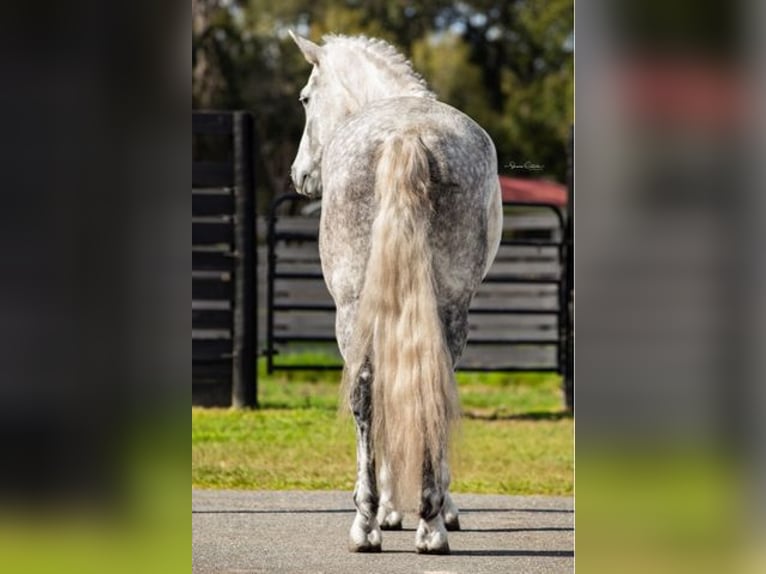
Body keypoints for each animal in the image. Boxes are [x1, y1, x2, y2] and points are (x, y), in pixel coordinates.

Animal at [290, 32, 504, 560]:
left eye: (305, 99)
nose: (299, 175)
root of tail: (406, 136)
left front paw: (391, 508)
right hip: (445, 308)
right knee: (418, 387)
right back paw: (426, 524)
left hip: (353, 309)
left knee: (367, 391)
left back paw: (374, 522)